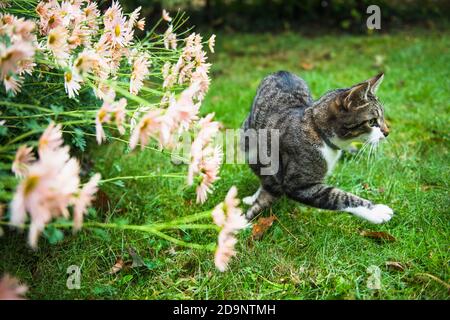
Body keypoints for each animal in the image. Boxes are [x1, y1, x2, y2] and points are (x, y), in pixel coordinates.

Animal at [241, 71, 392, 224]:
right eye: (372, 122)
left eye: (382, 118)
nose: (387, 132)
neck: (319, 131)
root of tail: (281, 71)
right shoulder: (298, 183)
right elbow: (338, 197)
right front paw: (376, 210)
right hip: (250, 145)